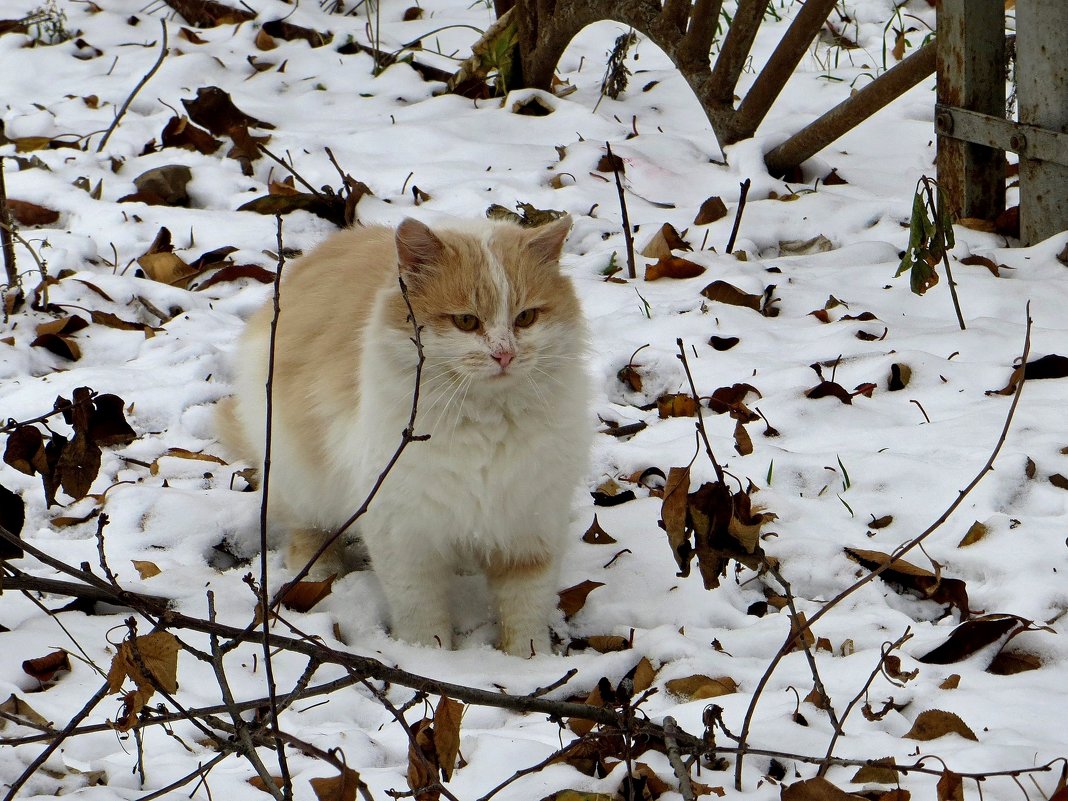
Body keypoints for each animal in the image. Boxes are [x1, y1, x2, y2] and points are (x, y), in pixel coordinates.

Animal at [218, 214, 593, 657]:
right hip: (300, 477)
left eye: (526, 318)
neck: (485, 423)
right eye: (466, 321)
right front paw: (429, 660)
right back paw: (320, 574)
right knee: (305, 532)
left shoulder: (530, 529)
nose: (505, 355)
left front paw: (528, 663)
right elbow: (421, 614)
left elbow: (525, 614)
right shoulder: (404, 537)